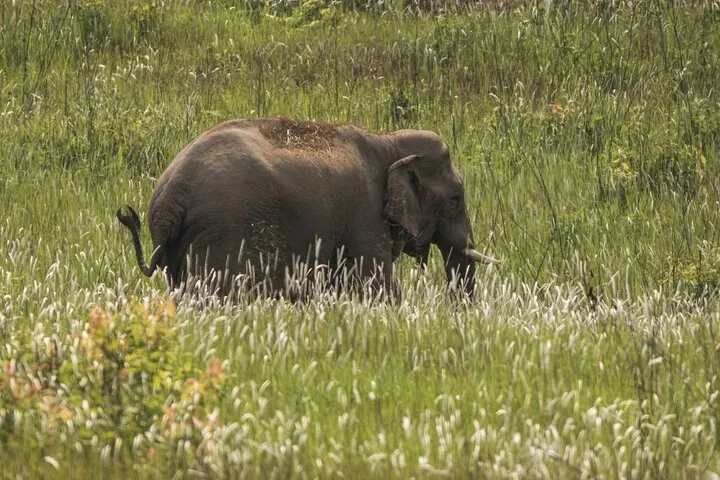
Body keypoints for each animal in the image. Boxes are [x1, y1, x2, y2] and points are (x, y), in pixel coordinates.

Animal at [117, 117, 499, 300]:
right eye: (456, 198)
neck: (388, 141)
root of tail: (168, 201)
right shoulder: (364, 212)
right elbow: (377, 285)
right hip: (223, 235)